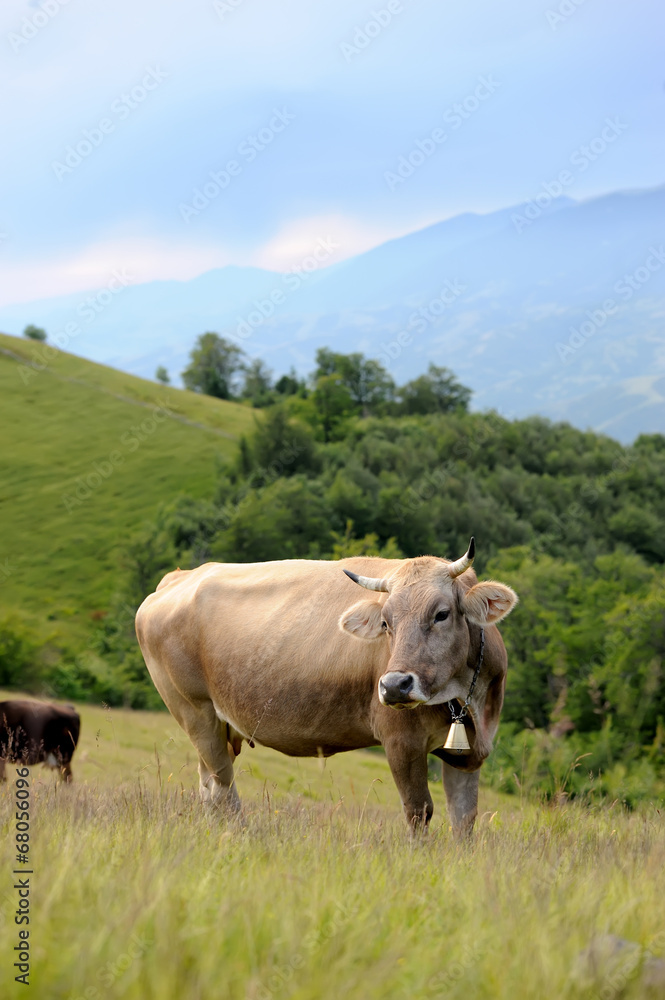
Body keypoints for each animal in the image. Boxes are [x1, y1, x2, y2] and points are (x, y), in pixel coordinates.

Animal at [135, 540, 516, 836]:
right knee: (222, 790)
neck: (467, 700)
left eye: (441, 614)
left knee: (208, 788)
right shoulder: (401, 741)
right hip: (195, 712)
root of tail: (181, 576)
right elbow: (418, 811)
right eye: (386, 622)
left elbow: (464, 819)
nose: (394, 685)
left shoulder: (467, 752)